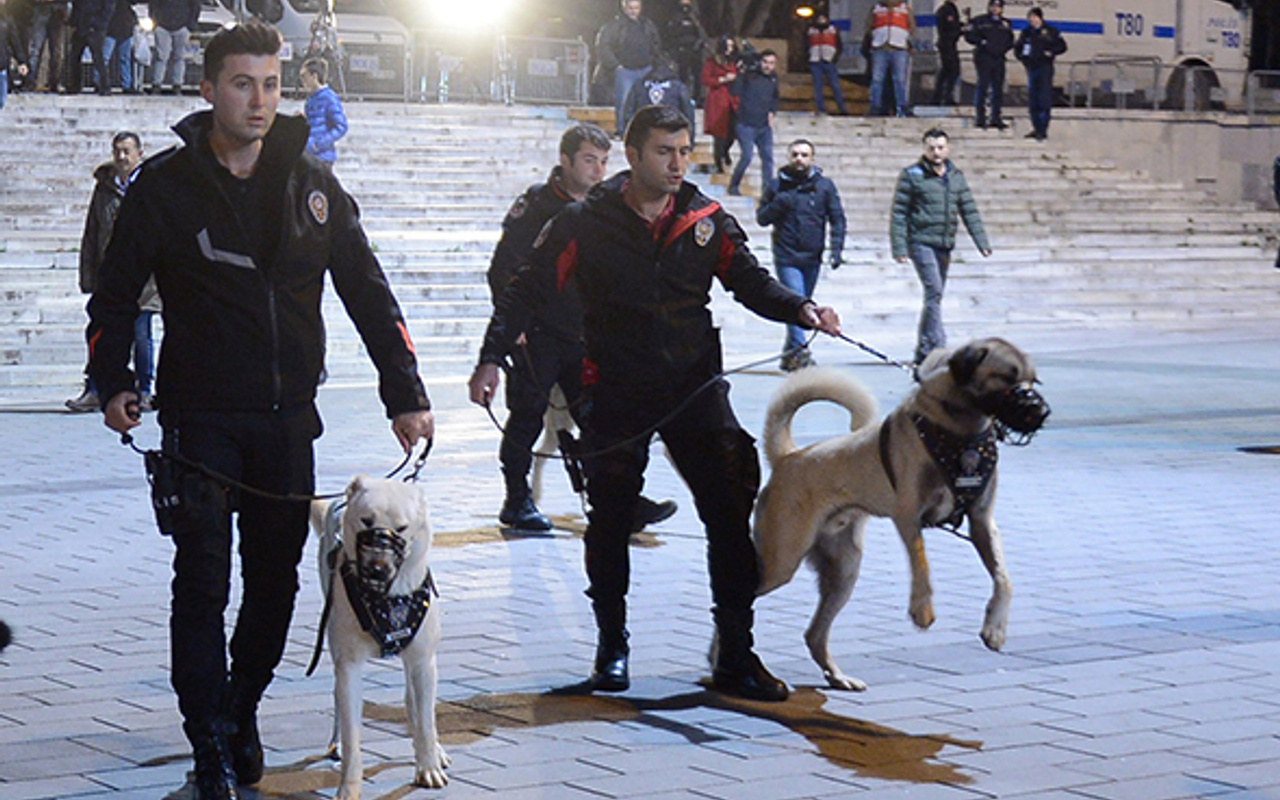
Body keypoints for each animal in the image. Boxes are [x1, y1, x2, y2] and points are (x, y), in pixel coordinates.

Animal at [309, 476, 450, 793]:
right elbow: (352, 737)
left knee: (415, 704)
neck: (388, 598)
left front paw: (428, 766)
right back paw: (335, 743)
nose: (377, 568)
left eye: (402, 528)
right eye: (366, 521)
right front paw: (348, 790)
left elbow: (426, 722)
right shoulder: (348, 667)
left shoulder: (423, 661)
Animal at [468, 106, 839, 696]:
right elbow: (522, 280)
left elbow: (749, 280)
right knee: (586, 488)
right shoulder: (558, 237)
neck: (645, 209)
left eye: (682, 148)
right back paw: (605, 646)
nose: (681, 164)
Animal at [752, 337, 1044, 686]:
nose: (1041, 410)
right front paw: (922, 608)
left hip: (844, 571)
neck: (959, 429)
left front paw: (995, 628)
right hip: (781, 561)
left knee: (814, 634)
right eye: (1006, 377)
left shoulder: (982, 521)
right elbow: (922, 563)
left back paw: (837, 676)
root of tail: (789, 457)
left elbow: (1004, 579)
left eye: (1034, 380)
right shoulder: (908, 515)